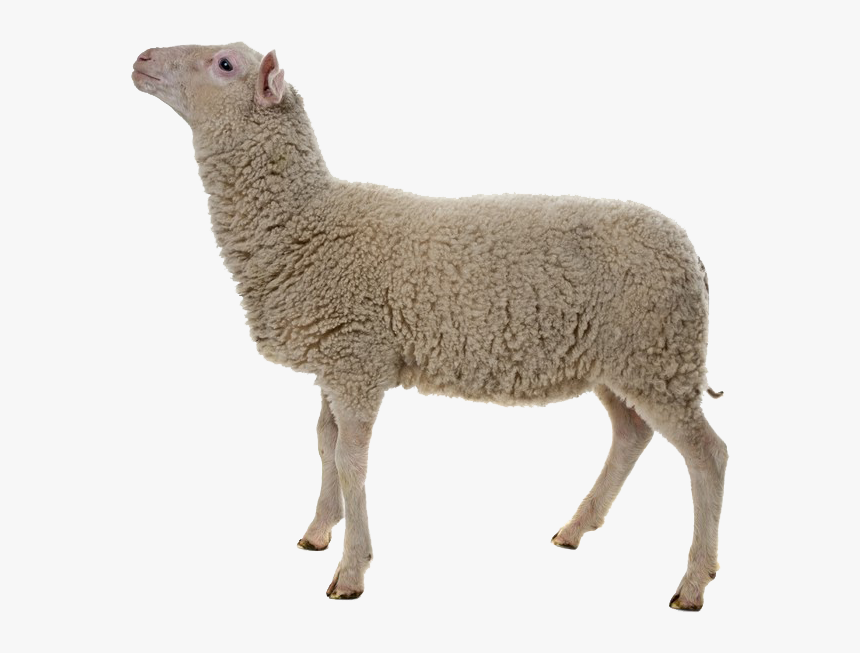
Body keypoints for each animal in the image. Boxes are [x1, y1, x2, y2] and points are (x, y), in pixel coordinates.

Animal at [131, 42, 727, 610]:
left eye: (225, 64)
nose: (141, 60)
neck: (309, 220)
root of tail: (691, 254)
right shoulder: (334, 355)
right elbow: (324, 443)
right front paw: (320, 530)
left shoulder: (359, 359)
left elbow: (351, 460)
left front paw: (351, 571)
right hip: (623, 362)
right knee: (631, 434)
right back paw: (577, 527)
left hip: (659, 353)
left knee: (708, 457)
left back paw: (693, 583)